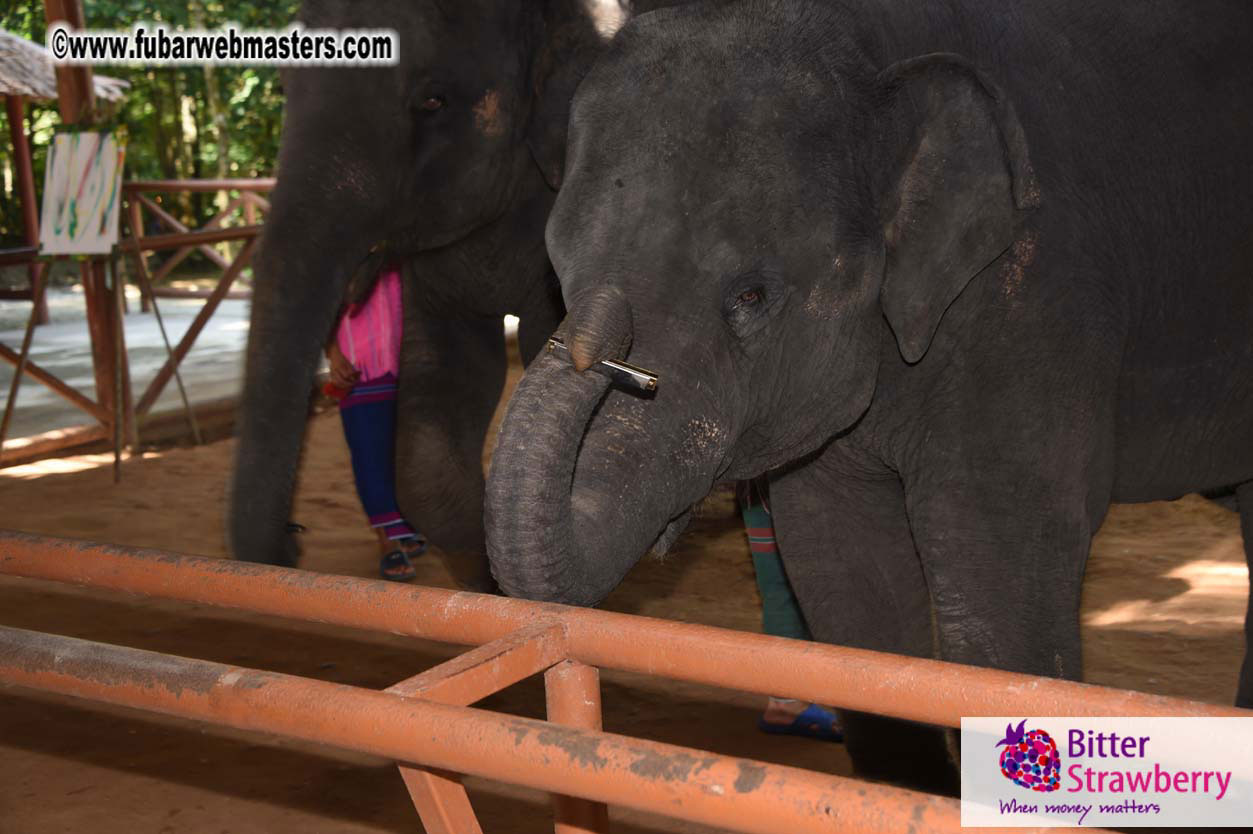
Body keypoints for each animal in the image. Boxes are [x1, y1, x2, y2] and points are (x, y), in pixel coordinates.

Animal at [229, 0, 685, 588]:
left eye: (433, 100)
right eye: (285, 84)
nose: (294, 538)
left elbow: (542, 341)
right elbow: (447, 389)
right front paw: (486, 576)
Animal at [485, 0, 1253, 789]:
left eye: (750, 297)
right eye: (558, 270)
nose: (588, 336)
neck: (872, 46)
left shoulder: (1042, 299)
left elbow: (996, 593)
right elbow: (851, 584)